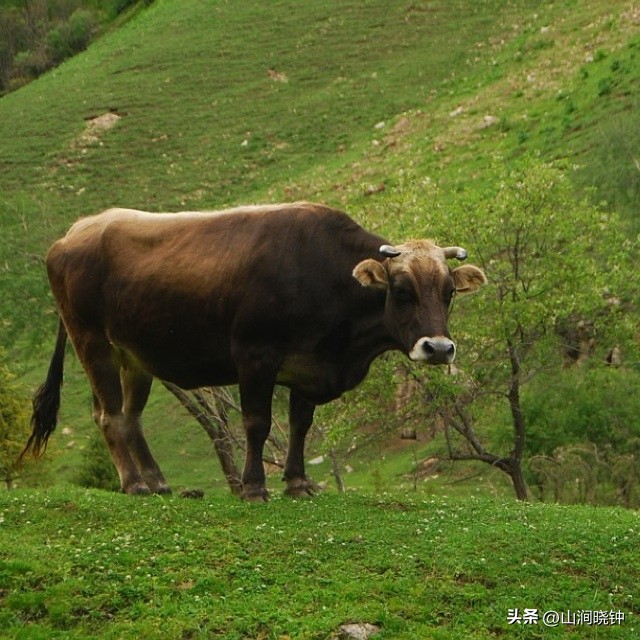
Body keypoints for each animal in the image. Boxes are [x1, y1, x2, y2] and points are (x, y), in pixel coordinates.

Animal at [22, 202, 488, 498]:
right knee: (109, 416)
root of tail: (75, 232)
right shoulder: (254, 357)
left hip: (133, 357)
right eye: (402, 290)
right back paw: (134, 483)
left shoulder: (307, 366)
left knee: (130, 416)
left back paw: (156, 481)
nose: (438, 348)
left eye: (448, 292)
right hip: (91, 342)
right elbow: (257, 424)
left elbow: (300, 426)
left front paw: (299, 483)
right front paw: (253, 486)